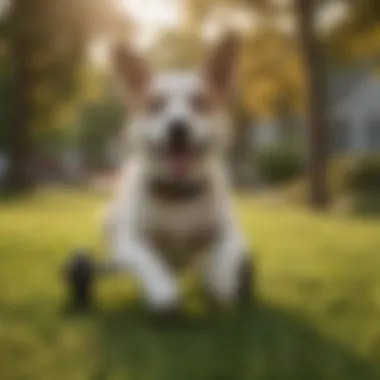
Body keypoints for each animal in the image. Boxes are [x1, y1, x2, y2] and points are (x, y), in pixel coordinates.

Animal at [102, 34, 254, 312]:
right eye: (155, 104)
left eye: (200, 102)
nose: (178, 127)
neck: (179, 192)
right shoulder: (131, 241)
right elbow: (148, 259)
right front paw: (162, 289)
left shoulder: (233, 233)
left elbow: (223, 253)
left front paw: (219, 280)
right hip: (108, 219)